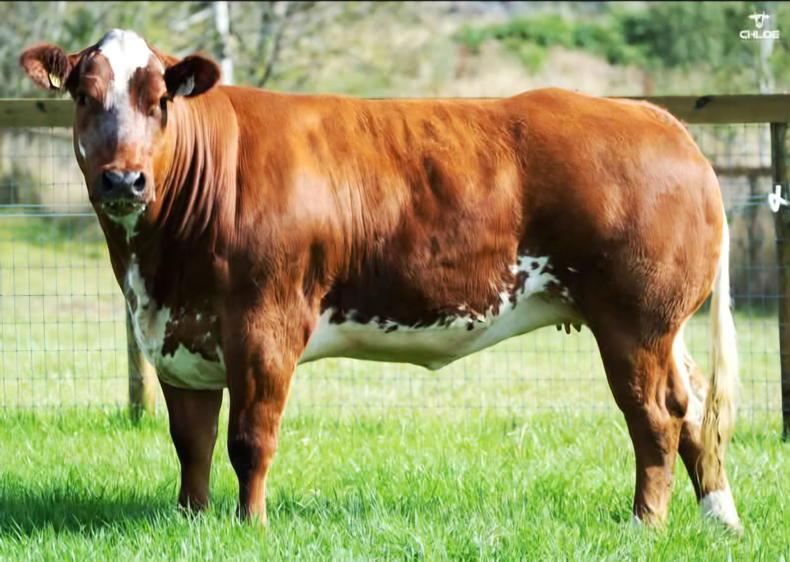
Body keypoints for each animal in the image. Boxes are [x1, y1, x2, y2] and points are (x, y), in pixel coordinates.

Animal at [20, 29, 740, 531]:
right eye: (83, 96)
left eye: (159, 100)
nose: (123, 179)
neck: (161, 267)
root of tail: (658, 120)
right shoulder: (176, 333)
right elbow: (191, 441)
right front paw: (190, 521)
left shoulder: (264, 323)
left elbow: (250, 439)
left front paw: (250, 525)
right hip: (662, 327)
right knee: (692, 408)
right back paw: (718, 517)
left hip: (633, 320)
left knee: (654, 418)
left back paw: (646, 524)